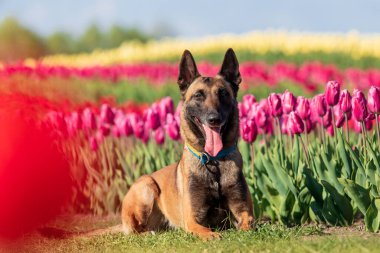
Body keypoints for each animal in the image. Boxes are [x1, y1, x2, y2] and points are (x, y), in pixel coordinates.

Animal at [120, 48, 254, 240]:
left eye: (223, 93)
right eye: (198, 95)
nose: (214, 119)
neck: (213, 161)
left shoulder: (244, 211)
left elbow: (248, 224)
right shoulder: (192, 219)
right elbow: (205, 231)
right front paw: (212, 235)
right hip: (146, 186)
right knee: (133, 231)